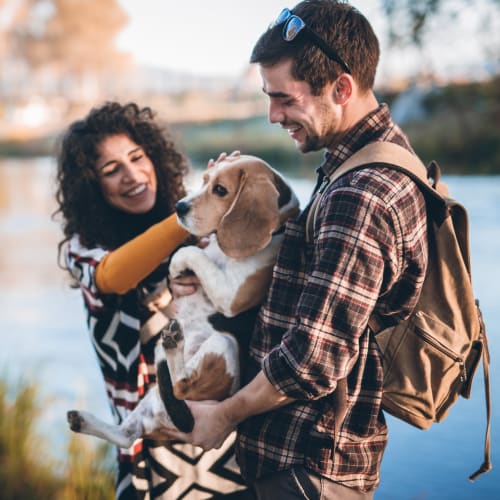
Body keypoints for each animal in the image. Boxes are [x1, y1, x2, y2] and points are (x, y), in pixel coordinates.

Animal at [68, 154, 298, 448]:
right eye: (204, 180)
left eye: (220, 190)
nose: (179, 207)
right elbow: (196, 253)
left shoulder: (231, 294)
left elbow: (189, 252)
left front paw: (177, 267)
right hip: (150, 399)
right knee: (126, 436)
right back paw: (81, 419)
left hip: (223, 344)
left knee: (180, 385)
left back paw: (174, 345)